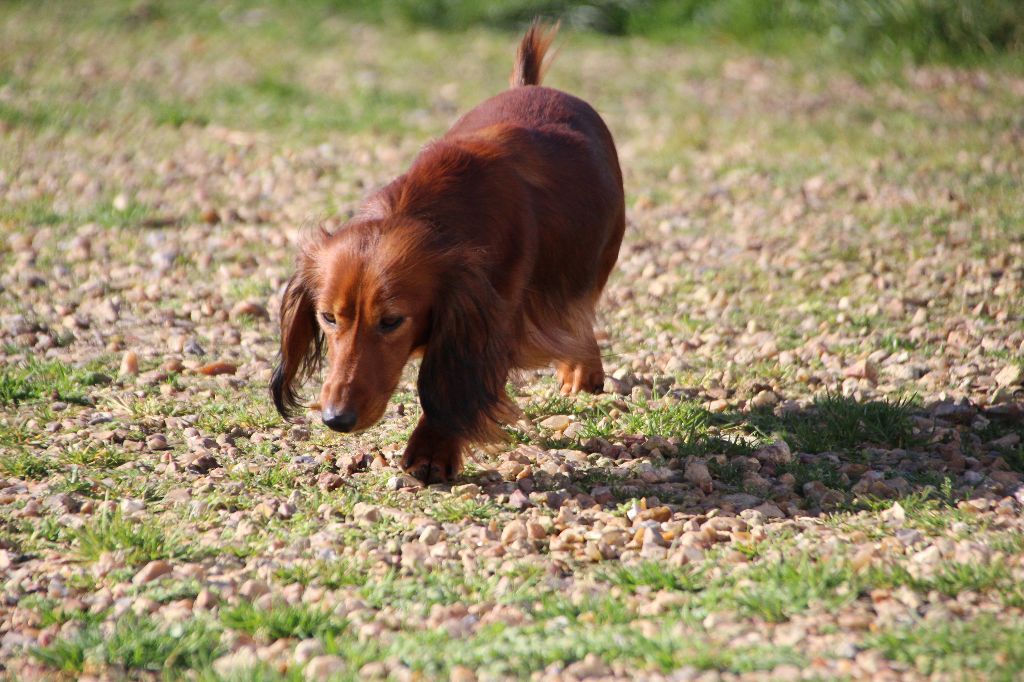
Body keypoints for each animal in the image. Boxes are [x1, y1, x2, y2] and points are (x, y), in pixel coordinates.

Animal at [272, 19, 622, 477]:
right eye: (328, 318)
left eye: (391, 321)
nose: (336, 419)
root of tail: (532, 86)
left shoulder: (490, 320)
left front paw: (432, 450)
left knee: (579, 309)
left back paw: (582, 369)